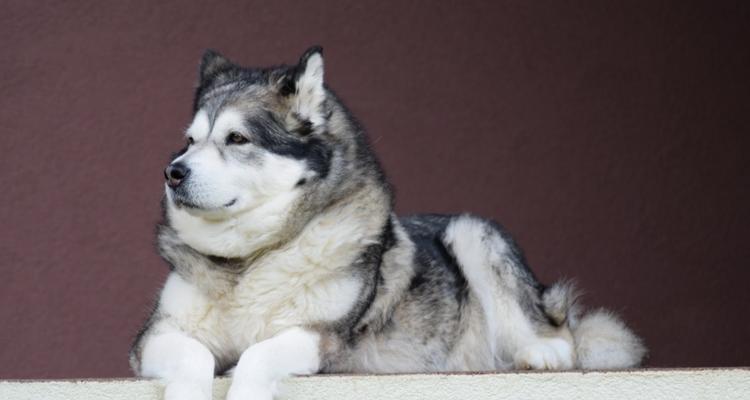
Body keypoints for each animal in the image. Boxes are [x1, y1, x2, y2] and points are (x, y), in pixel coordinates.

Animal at [131, 46, 648, 400]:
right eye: (190, 141)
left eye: (237, 138)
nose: (173, 172)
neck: (252, 258)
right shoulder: (153, 337)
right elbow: (195, 354)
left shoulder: (322, 337)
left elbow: (258, 354)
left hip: (473, 231)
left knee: (560, 333)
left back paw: (541, 351)